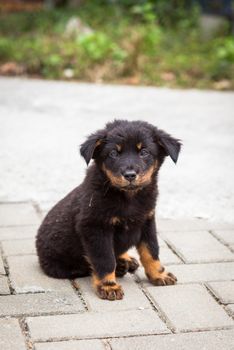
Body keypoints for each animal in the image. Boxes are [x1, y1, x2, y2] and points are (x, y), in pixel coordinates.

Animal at [36, 120, 181, 300]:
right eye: (113, 153)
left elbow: (151, 251)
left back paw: (126, 260)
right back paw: (120, 266)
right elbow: (104, 259)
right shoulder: (96, 227)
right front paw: (108, 286)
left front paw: (159, 274)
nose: (130, 175)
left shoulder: (147, 221)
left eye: (144, 152)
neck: (128, 197)